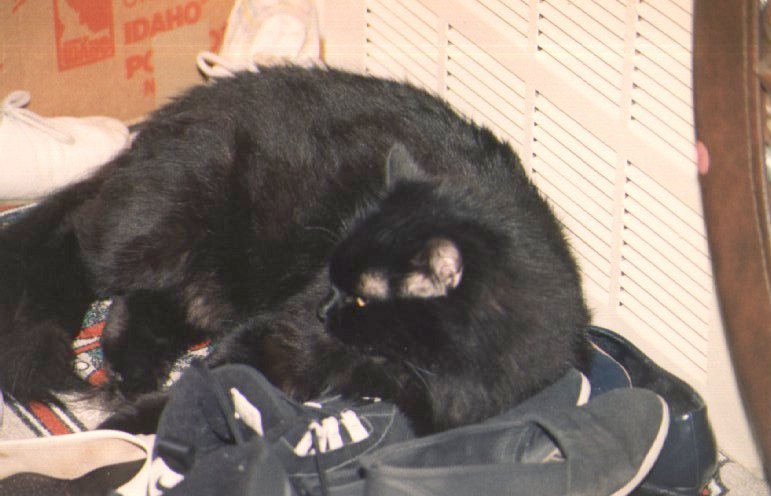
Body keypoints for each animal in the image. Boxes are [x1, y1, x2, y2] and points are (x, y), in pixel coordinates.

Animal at [0, 66, 589, 434]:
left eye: (360, 298)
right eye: (333, 277)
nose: (325, 306)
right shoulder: (282, 330)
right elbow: (222, 379)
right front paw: (136, 430)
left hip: (206, 274)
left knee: (147, 305)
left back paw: (130, 374)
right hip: (164, 223)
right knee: (73, 246)